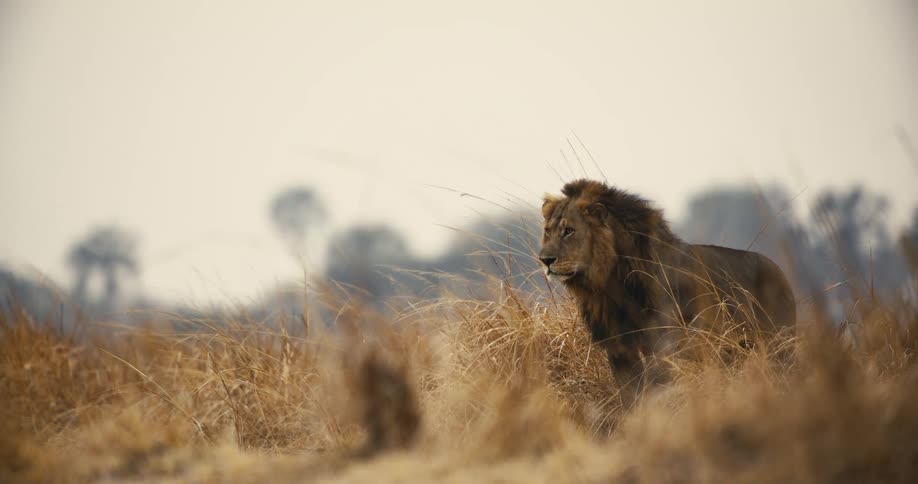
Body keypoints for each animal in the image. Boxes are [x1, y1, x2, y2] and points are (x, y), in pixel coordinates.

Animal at [539, 179, 796, 404]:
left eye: (569, 231)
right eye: (547, 232)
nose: (545, 260)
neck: (610, 285)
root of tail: (781, 272)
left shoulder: (661, 344)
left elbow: (656, 389)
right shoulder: (620, 348)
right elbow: (631, 398)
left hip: (778, 344)